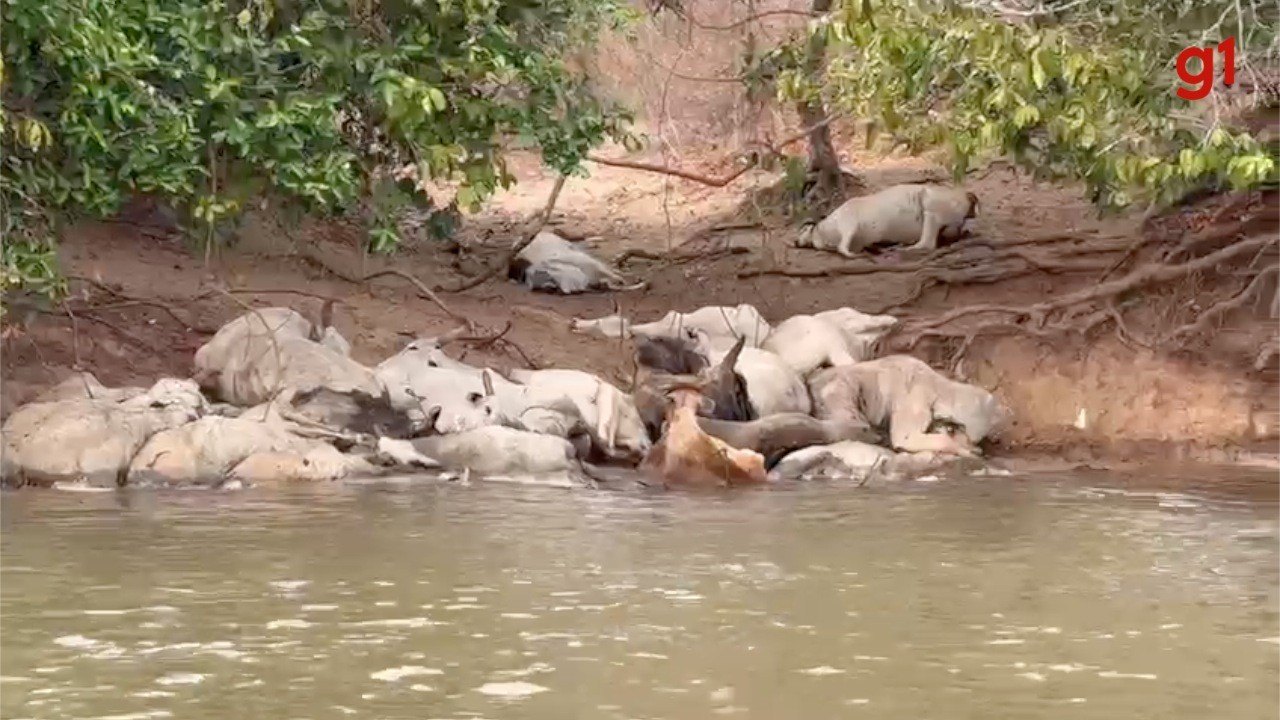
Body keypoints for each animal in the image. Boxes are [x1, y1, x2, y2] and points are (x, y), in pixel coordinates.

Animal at [798, 181, 977, 254]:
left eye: (804, 229)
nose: (795, 242)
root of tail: (967, 197)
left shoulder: (848, 220)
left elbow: (844, 247)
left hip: (930, 203)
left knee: (927, 243)